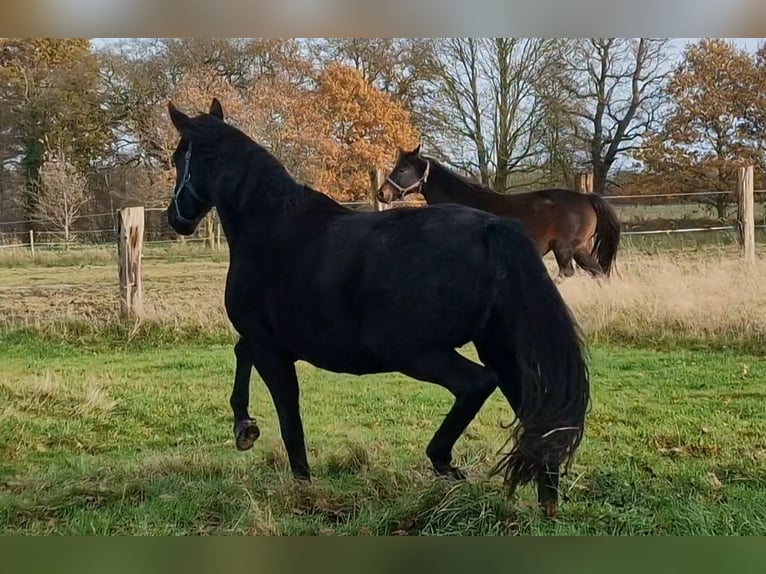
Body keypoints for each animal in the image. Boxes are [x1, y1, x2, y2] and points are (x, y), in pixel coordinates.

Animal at [165, 98, 591, 517]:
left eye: (177, 158)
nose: (176, 218)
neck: (269, 223)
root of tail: (490, 229)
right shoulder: (269, 341)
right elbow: (242, 355)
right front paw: (245, 428)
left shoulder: (269, 346)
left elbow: (289, 418)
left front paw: (298, 484)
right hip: (497, 348)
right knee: (539, 416)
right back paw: (546, 501)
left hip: (415, 352)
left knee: (478, 384)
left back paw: (446, 465)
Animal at [377, 145, 622, 281]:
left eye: (402, 169)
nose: (382, 193)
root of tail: (586, 198)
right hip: (579, 250)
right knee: (598, 272)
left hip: (564, 248)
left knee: (568, 273)